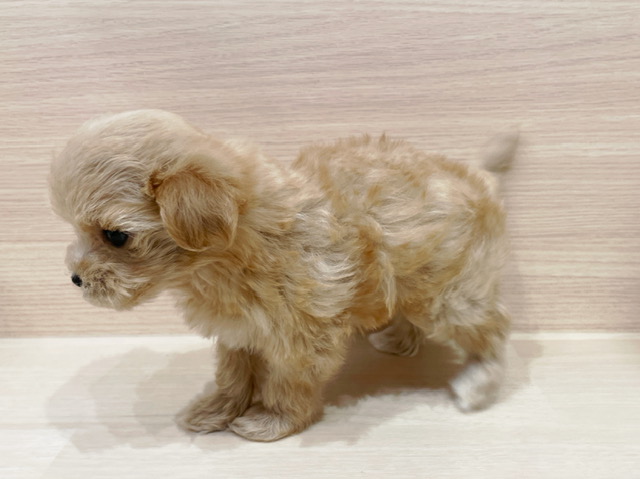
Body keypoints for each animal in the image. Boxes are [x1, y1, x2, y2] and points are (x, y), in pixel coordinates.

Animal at [50, 110, 518, 441]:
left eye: (115, 236)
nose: (75, 278)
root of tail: (475, 177)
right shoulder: (237, 329)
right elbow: (232, 373)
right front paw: (214, 410)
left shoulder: (302, 337)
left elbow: (287, 381)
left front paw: (272, 422)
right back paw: (398, 339)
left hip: (452, 294)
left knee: (492, 330)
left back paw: (479, 383)